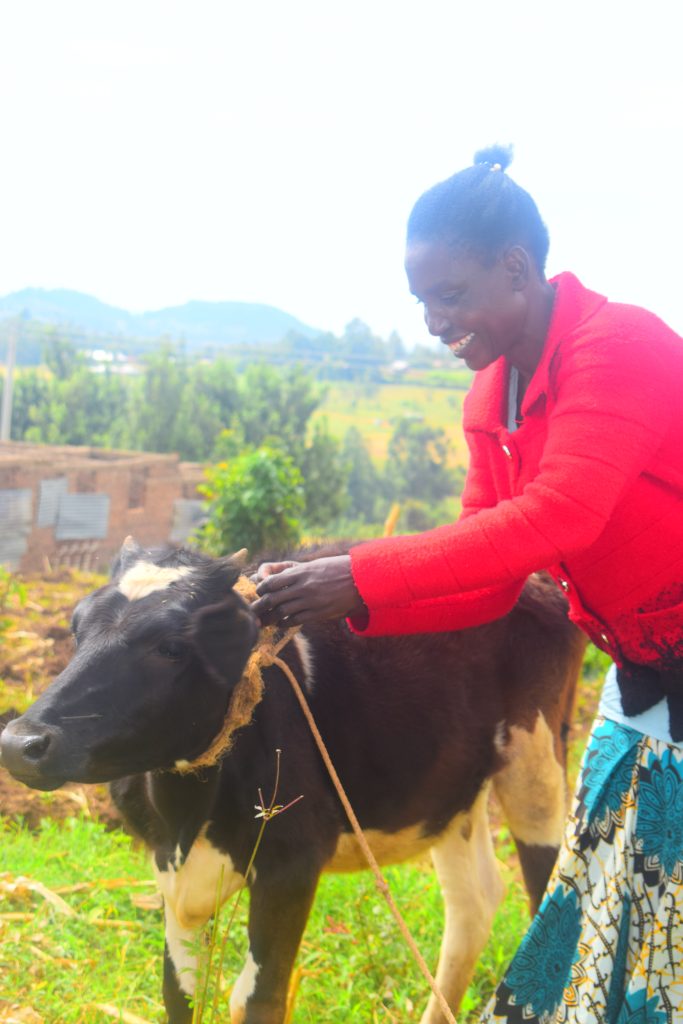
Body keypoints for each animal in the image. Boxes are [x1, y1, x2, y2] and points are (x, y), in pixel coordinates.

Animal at [1, 540, 589, 1019]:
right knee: (473, 906)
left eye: (169, 646)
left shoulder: (292, 864)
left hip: (536, 763)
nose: (20, 742)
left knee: (545, 887)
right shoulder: (170, 868)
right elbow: (180, 992)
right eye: (76, 628)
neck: (188, 816)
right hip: (450, 792)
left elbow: (256, 996)